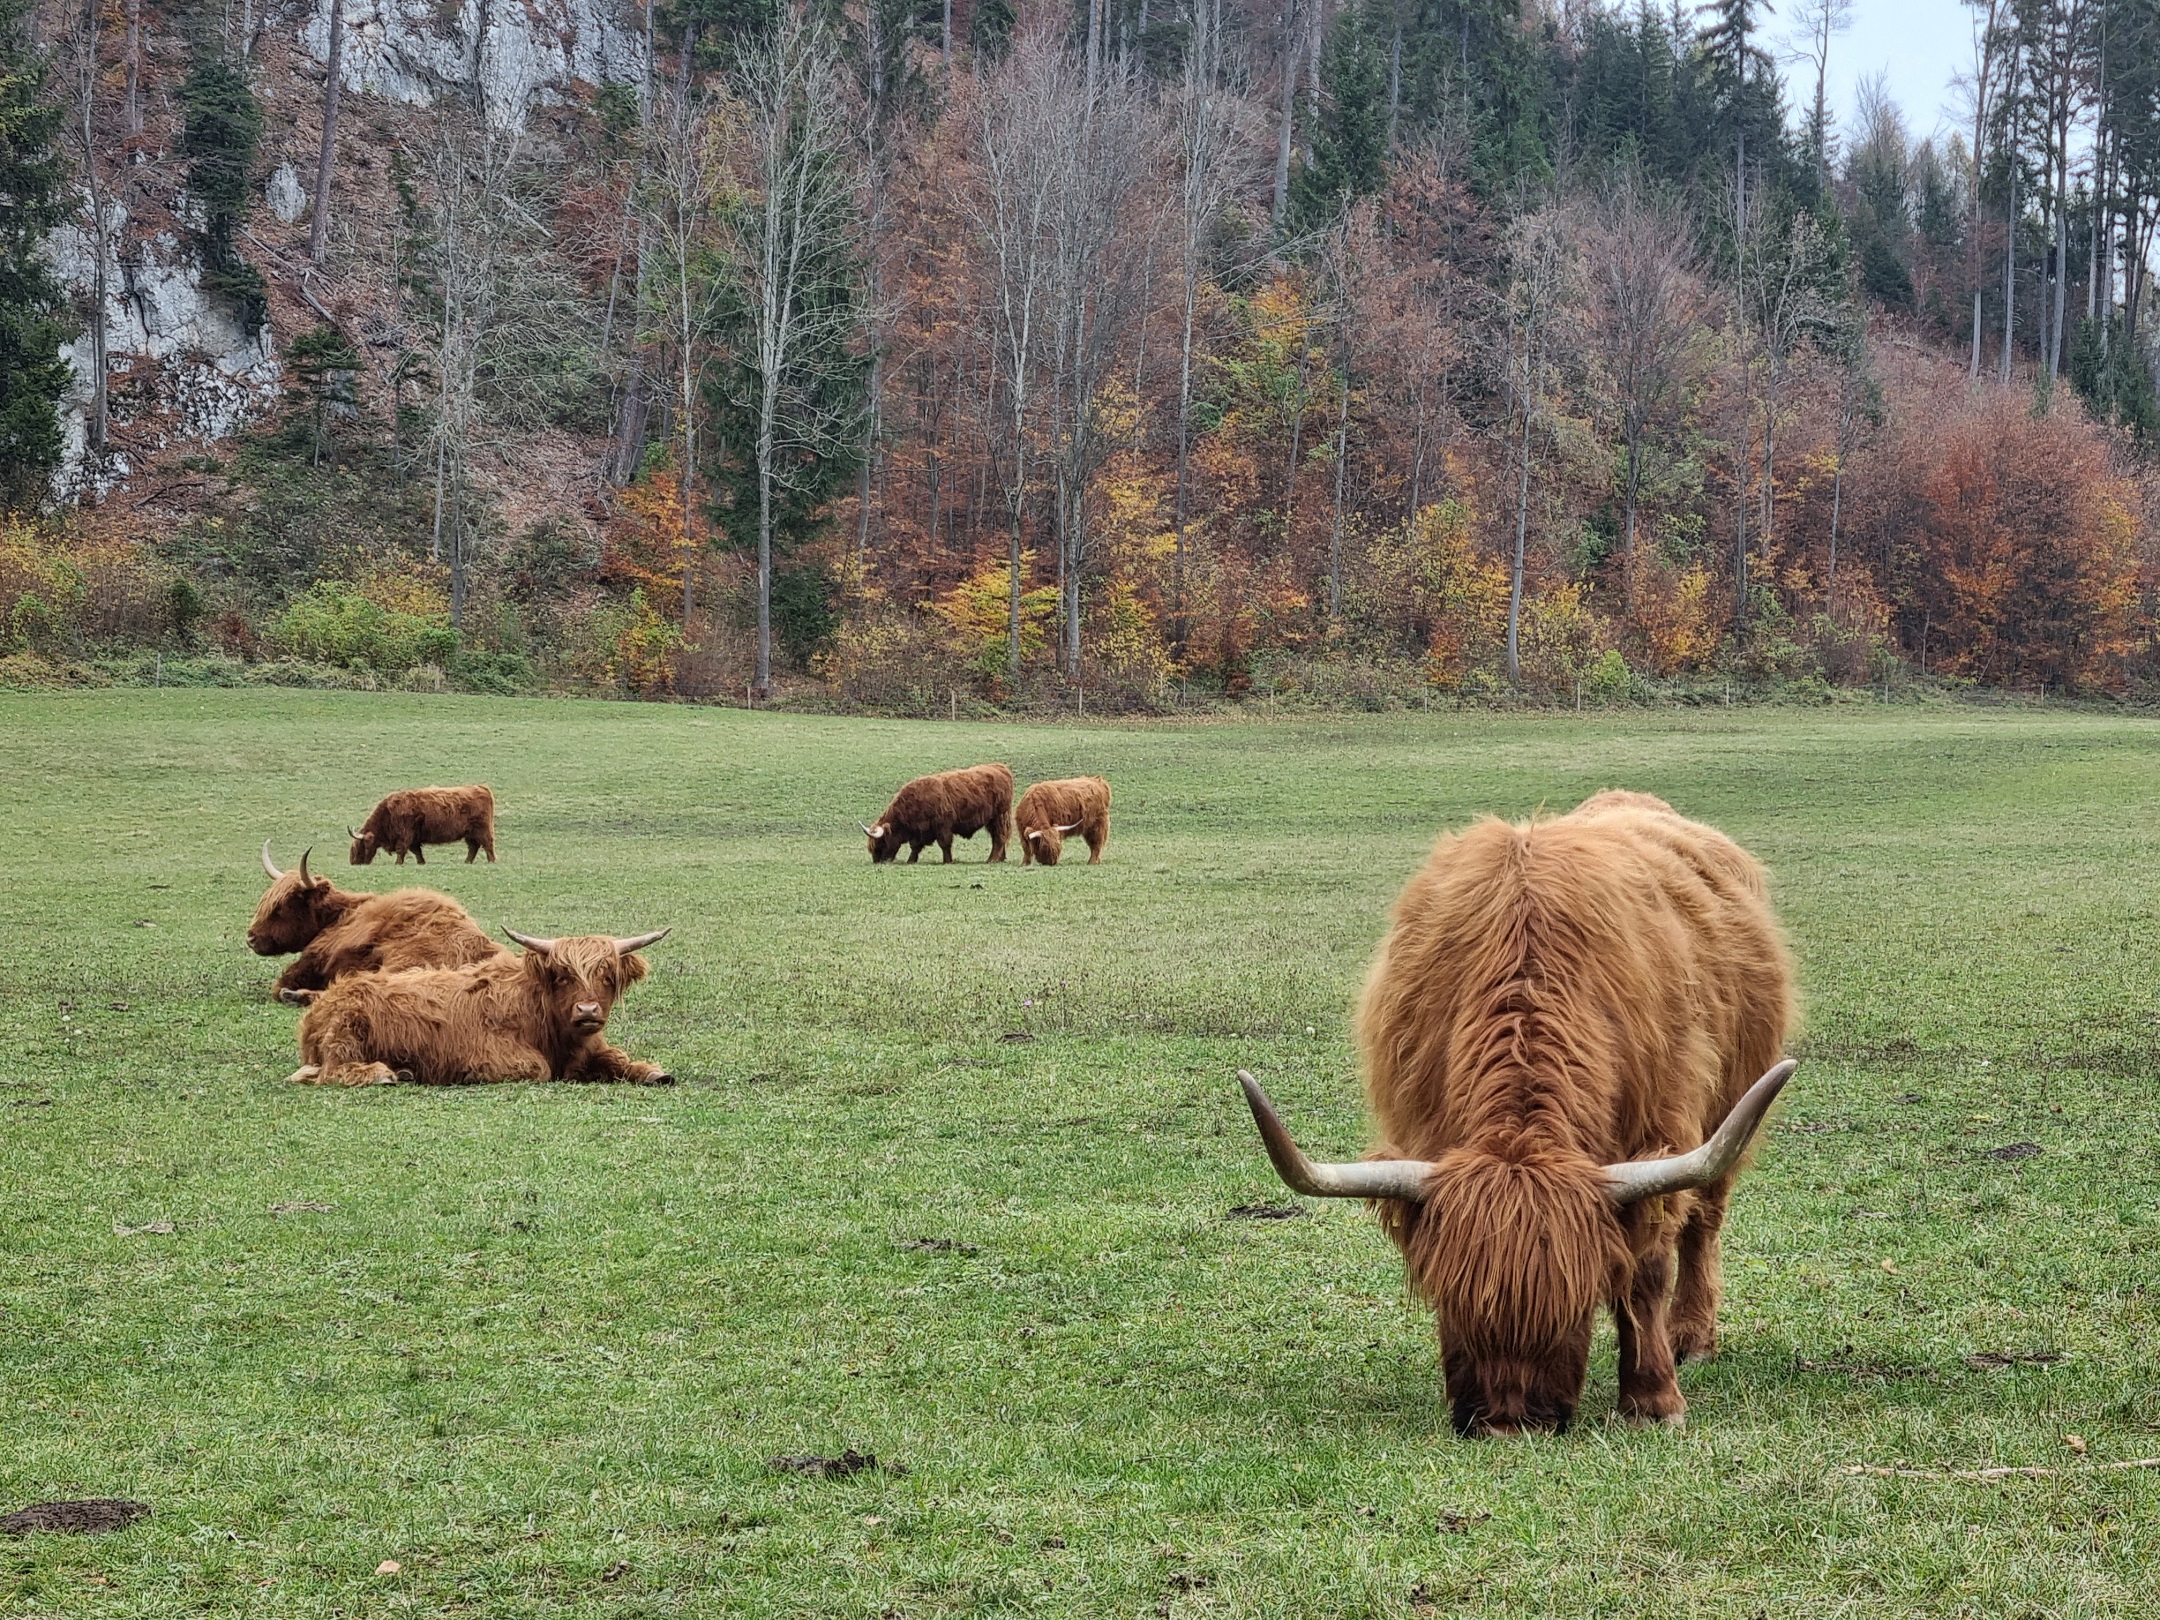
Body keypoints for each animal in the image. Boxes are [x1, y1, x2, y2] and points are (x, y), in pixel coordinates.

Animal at [250, 851, 507, 1002]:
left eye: (280, 907)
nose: (250, 938)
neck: (340, 915)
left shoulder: (314, 958)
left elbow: (281, 982)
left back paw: (295, 996)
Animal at [287, 924, 669, 1092]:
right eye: (562, 976)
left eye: (607, 976)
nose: (587, 1011)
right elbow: (538, 1068)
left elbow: (616, 1058)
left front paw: (653, 1072)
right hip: (346, 1031)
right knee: (326, 1071)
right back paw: (383, 1073)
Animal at [347, 781, 494, 864]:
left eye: (360, 846)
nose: (354, 862)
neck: (387, 813)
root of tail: (482, 788)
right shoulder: (413, 837)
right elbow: (416, 851)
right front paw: (421, 862)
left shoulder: (404, 834)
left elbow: (401, 849)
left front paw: (398, 863)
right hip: (470, 833)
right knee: (473, 847)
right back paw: (467, 861)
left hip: (483, 829)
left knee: (488, 844)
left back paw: (491, 861)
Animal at [864, 768, 1015, 868]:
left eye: (881, 842)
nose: (878, 861)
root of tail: (1000, 768)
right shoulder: (919, 831)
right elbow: (915, 847)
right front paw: (911, 860)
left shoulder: (943, 827)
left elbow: (944, 844)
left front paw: (947, 861)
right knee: (1000, 838)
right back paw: (1000, 858)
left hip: (999, 818)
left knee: (999, 838)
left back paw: (992, 859)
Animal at [1244, 794, 1797, 1442]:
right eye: (1453, 1304)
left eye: (1571, 1310)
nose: (1509, 1425)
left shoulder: (1663, 1131)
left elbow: (1646, 1270)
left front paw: (1653, 1400)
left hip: (1731, 1108)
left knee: (1705, 1220)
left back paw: (1693, 1338)